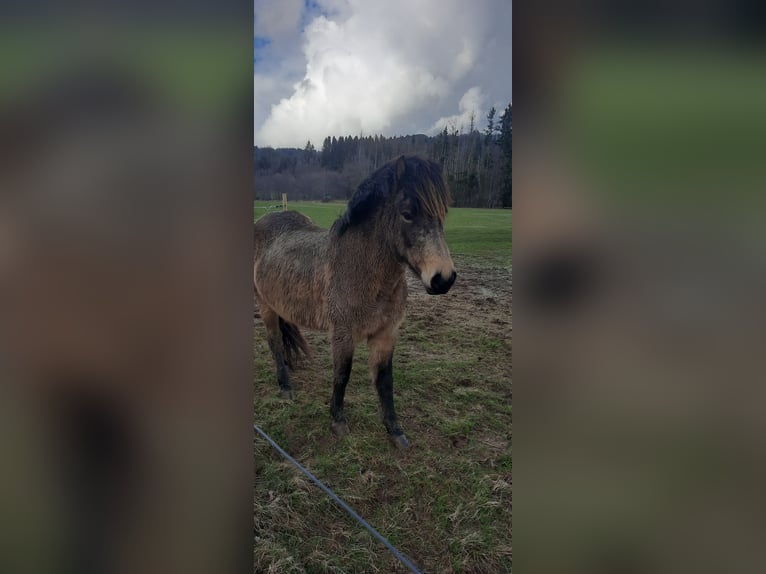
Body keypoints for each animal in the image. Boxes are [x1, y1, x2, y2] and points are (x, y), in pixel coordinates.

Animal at [254, 156, 456, 450]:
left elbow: (385, 381)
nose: (444, 279)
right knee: (275, 344)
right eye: (407, 213)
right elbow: (342, 375)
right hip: (266, 307)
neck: (362, 271)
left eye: (443, 213)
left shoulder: (386, 334)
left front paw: (395, 431)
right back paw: (285, 387)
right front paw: (338, 421)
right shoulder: (343, 334)